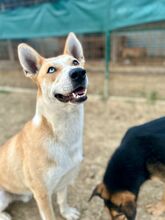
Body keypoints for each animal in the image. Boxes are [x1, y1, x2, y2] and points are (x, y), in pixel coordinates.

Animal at [0, 33, 87, 220]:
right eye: (51, 70)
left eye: (75, 62)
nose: (78, 73)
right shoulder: (42, 194)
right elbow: (49, 215)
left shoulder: (65, 179)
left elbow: (62, 199)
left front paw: (66, 212)